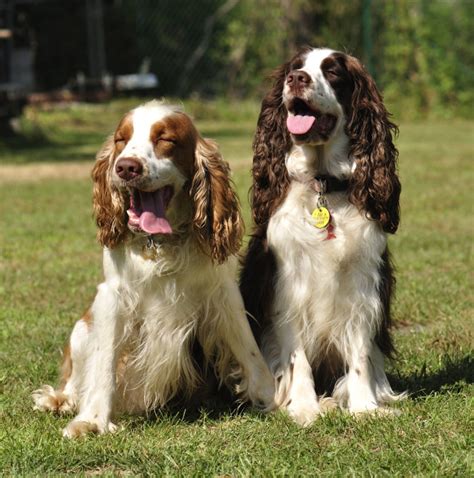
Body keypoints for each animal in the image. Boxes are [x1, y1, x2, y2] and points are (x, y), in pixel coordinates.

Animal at [243, 46, 406, 424]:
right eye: (295, 67)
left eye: (332, 72)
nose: (296, 79)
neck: (323, 185)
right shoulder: (288, 288)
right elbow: (297, 358)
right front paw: (304, 408)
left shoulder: (361, 287)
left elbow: (359, 355)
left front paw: (364, 408)